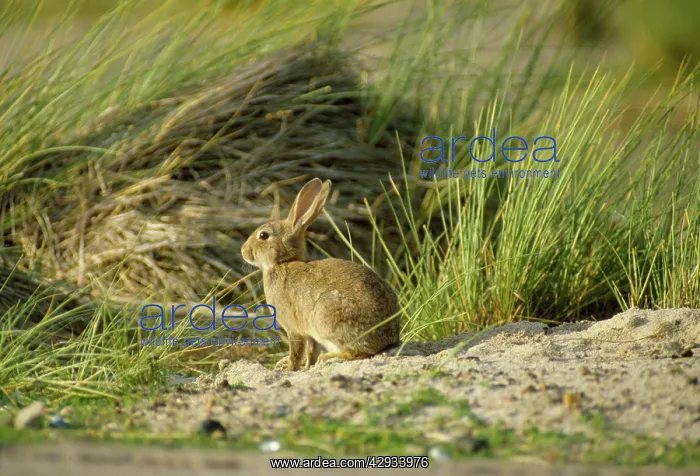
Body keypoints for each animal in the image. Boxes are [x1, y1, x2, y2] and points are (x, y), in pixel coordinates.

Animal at [241, 178, 401, 371]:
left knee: (358, 351)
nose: (243, 251)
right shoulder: (310, 333)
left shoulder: (294, 327)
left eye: (263, 235)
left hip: (329, 319)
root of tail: (388, 339)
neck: (281, 262)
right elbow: (311, 350)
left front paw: (289, 368)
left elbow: (296, 350)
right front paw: (305, 367)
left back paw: (328, 357)